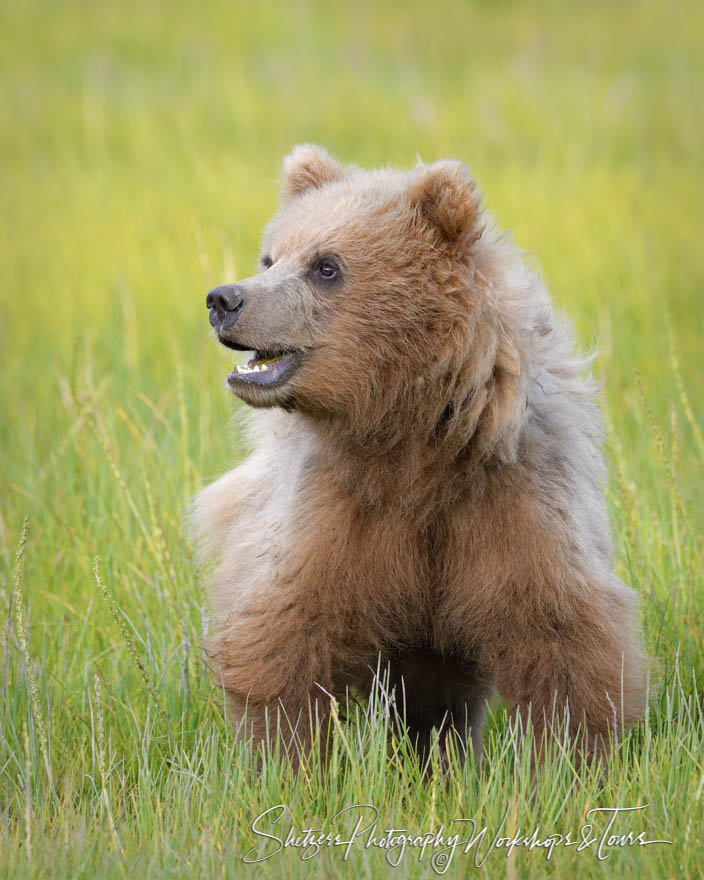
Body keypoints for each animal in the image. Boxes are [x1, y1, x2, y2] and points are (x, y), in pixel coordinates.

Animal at [192, 144, 648, 768]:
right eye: (269, 257)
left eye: (326, 266)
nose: (225, 299)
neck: (412, 438)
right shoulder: (334, 505)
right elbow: (288, 626)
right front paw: (287, 760)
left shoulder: (513, 494)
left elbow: (558, 632)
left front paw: (567, 761)